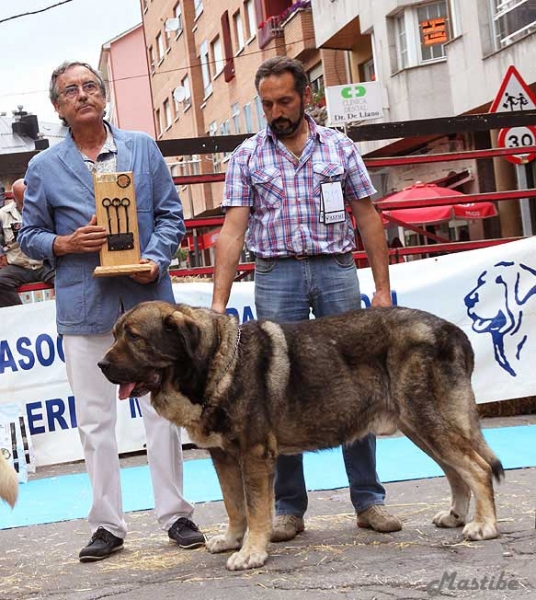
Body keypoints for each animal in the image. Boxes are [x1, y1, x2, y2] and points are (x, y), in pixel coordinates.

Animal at [98, 302, 504, 568]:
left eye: (134, 337)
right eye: (115, 334)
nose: (101, 365)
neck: (217, 362)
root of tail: (451, 330)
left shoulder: (254, 454)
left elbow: (256, 508)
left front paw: (251, 552)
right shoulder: (224, 457)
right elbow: (234, 505)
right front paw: (232, 540)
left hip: (425, 419)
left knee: (476, 468)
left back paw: (483, 526)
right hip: (418, 426)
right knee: (457, 470)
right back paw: (456, 515)